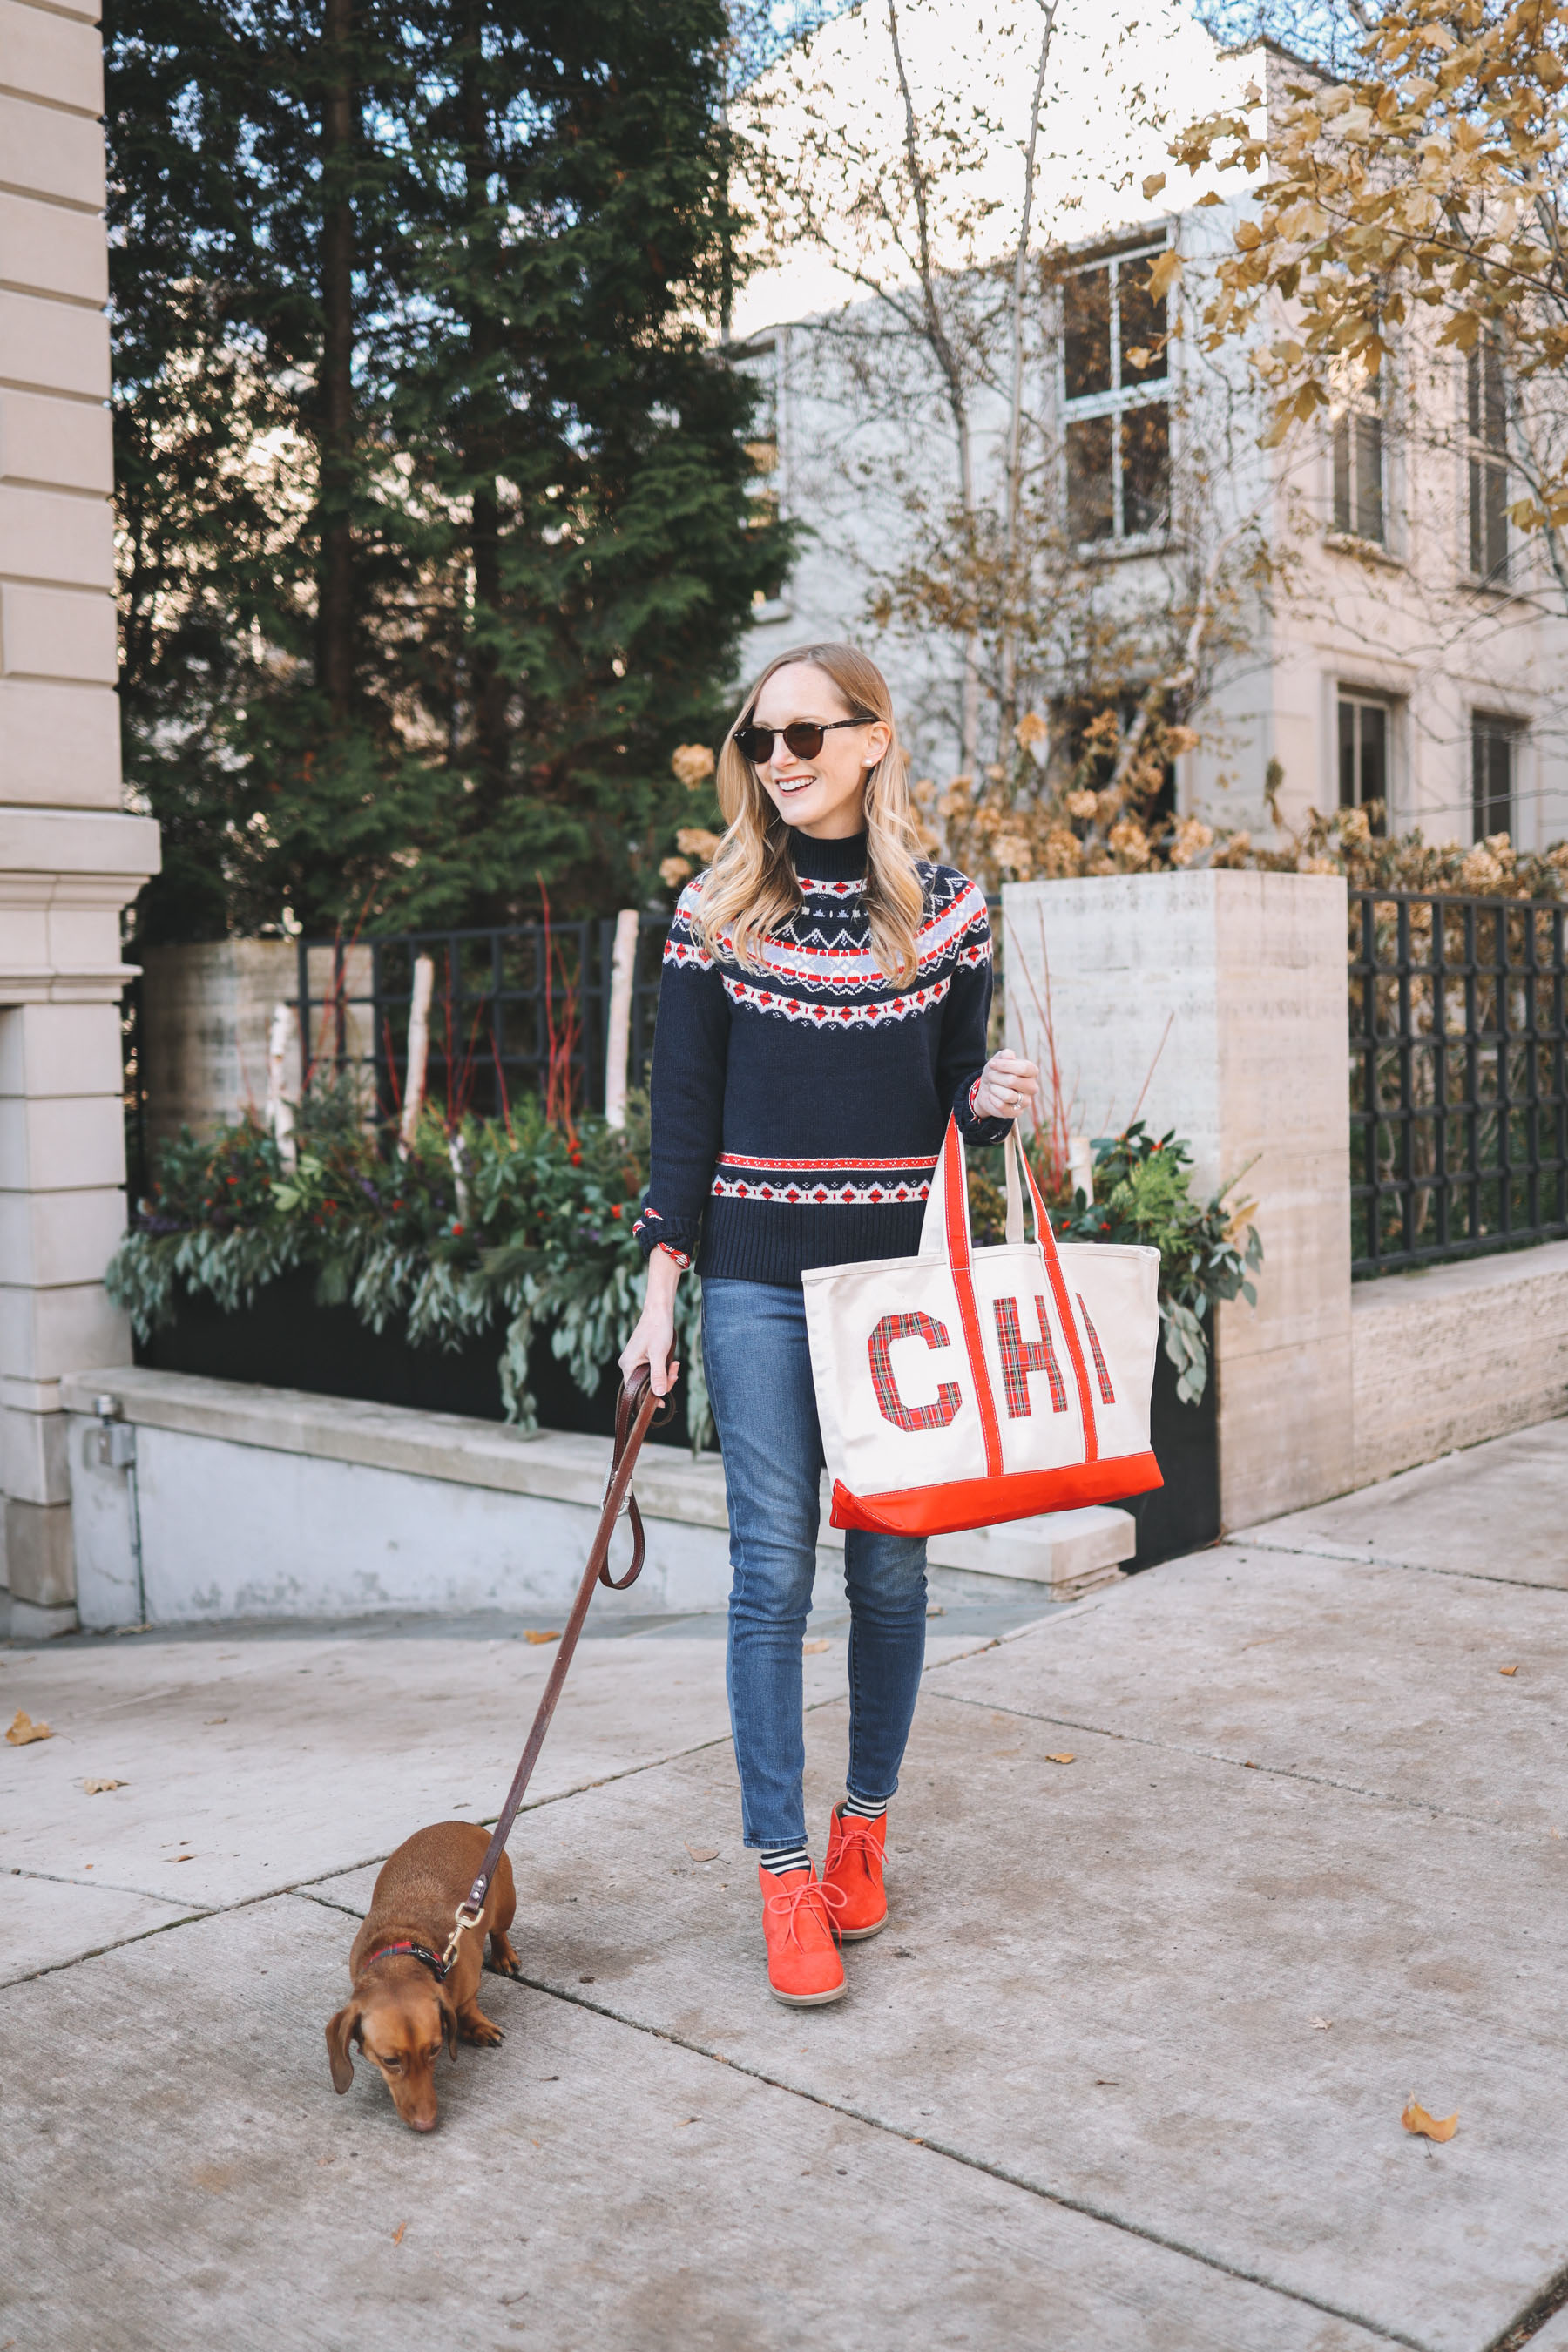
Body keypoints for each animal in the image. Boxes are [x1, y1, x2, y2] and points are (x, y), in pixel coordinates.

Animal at [324, 1815, 522, 2135]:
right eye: (390, 2060)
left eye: (435, 2050)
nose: (427, 2124)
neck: (404, 1953)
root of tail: (459, 1823)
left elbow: (467, 2007)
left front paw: (476, 2026)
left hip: (505, 1906)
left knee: (498, 1931)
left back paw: (504, 1955)